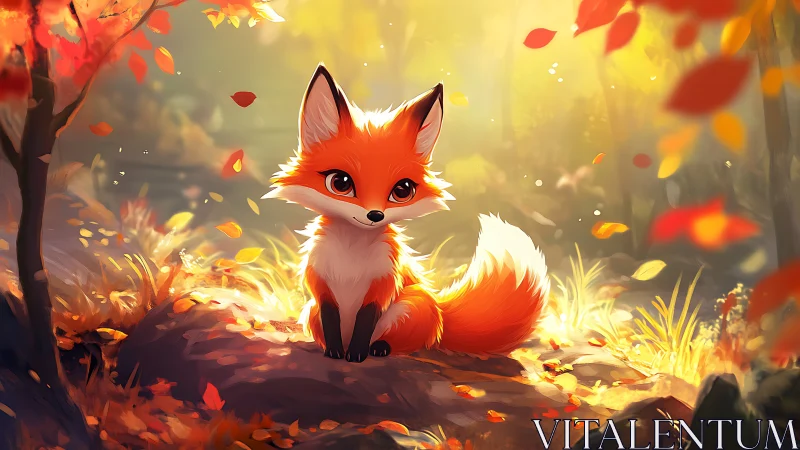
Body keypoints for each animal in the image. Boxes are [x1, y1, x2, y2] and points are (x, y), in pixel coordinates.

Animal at [263, 64, 550, 363]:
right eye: (340, 183)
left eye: (402, 190)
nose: (375, 215)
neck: (351, 252)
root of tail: (441, 313)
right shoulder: (320, 282)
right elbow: (330, 316)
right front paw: (334, 351)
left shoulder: (385, 280)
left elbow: (366, 319)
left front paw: (356, 354)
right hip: (310, 311)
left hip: (414, 304)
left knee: (402, 342)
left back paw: (379, 348)